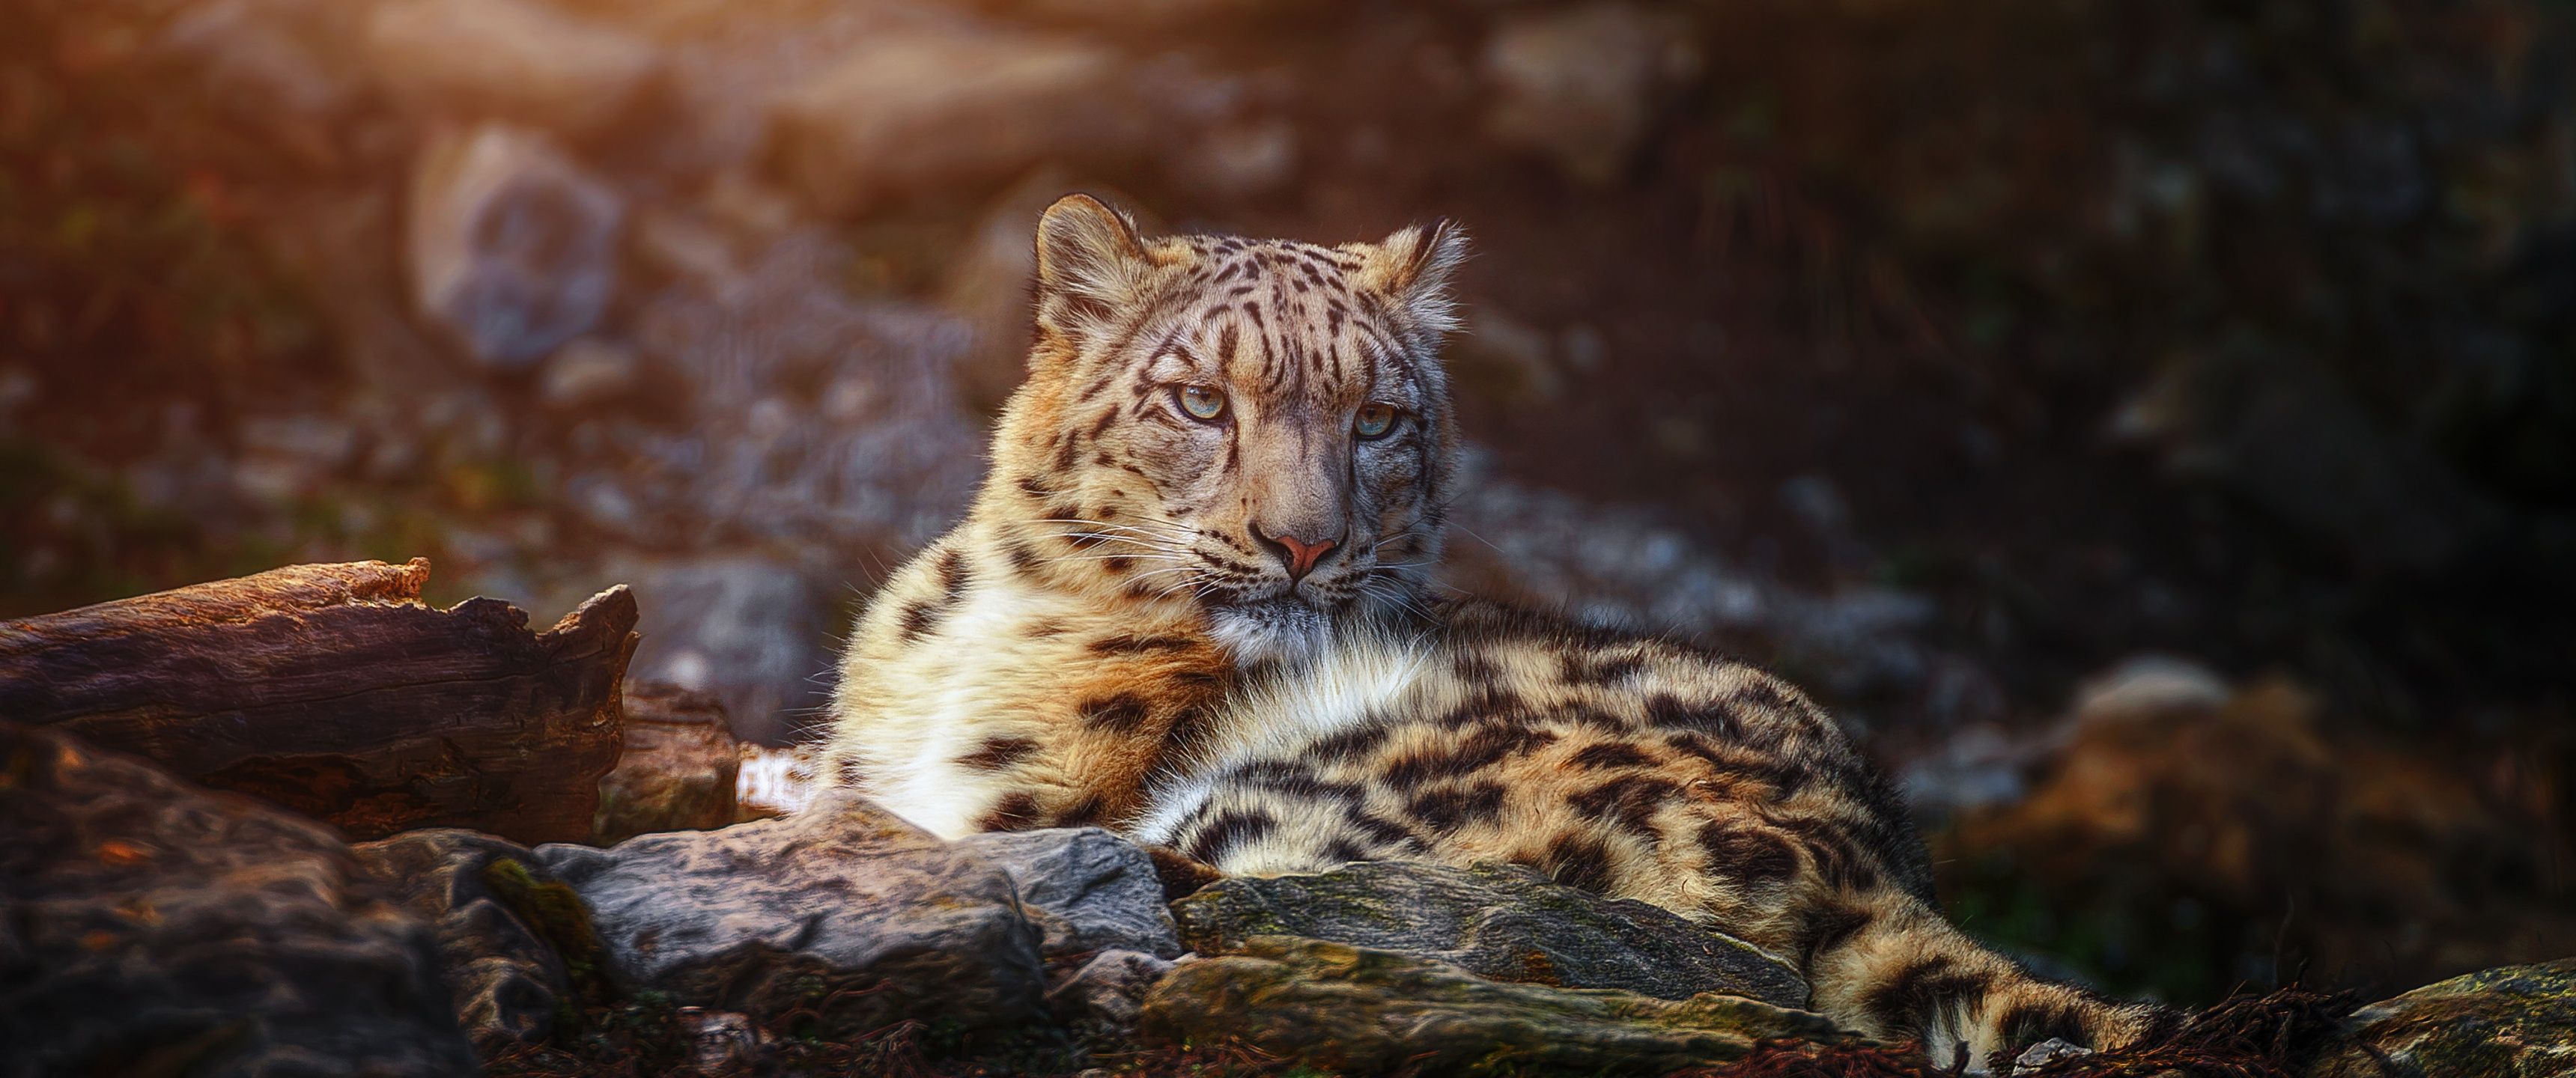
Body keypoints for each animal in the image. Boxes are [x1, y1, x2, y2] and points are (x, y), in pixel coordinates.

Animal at [821, 194, 2171, 1068]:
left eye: (1377, 419)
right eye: (1200, 400)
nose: (1303, 544)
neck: (984, 618)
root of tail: (1874, 872)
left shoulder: (1036, 796)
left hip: (1303, 800)